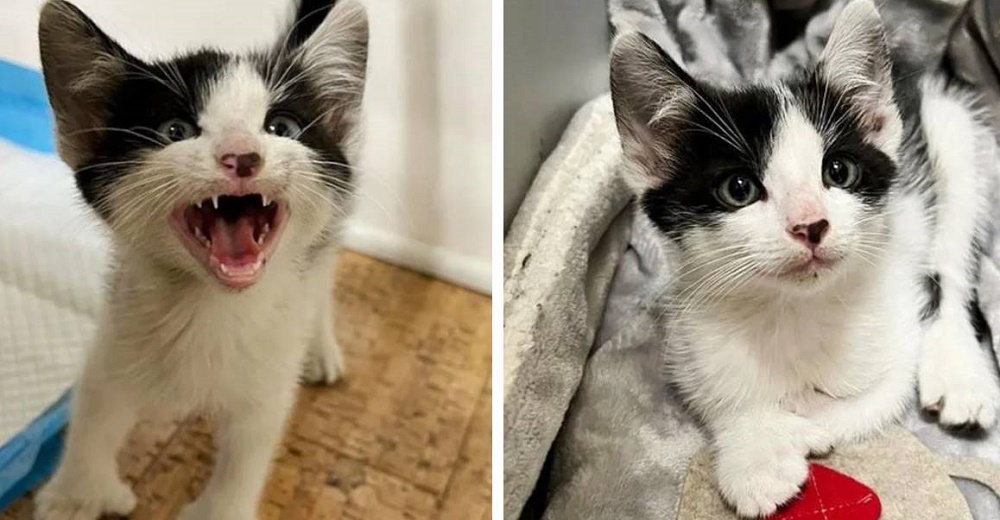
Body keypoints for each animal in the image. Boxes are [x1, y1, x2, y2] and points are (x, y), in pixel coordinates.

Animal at [35, 1, 372, 520]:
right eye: (176, 131)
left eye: (281, 128)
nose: (243, 156)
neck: (209, 306)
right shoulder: (118, 334)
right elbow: (95, 410)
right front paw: (77, 493)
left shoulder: (269, 374)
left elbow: (249, 447)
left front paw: (221, 509)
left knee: (322, 274)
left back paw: (320, 347)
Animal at [604, 0, 1000, 516]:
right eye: (738, 188)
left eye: (839, 171)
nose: (810, 224)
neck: (794, 308)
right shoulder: (687, 328)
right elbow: (714, 389)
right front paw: (757, 449)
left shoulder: (896, 317)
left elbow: (881, 391)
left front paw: (808, 422)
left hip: (958, 135)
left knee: (952, 265)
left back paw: (959, 371)